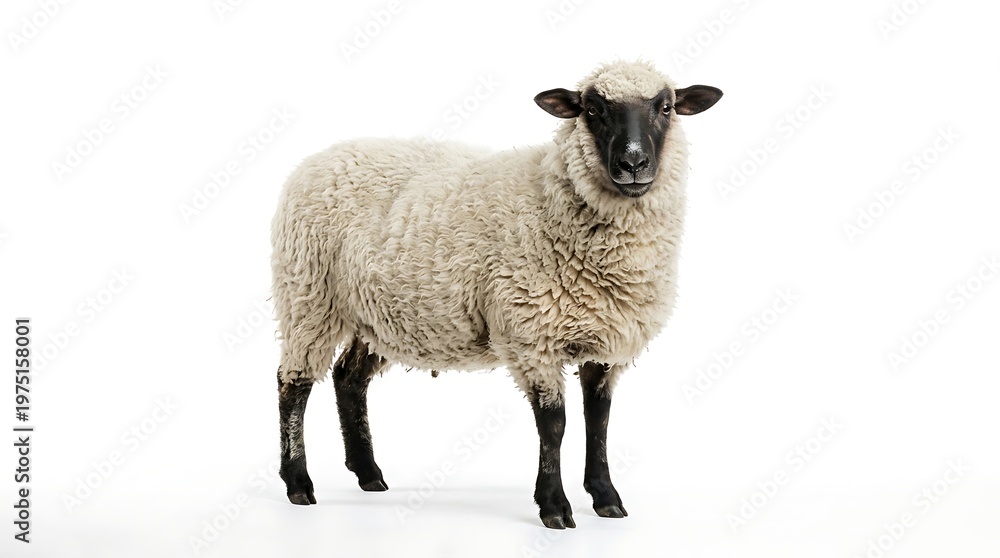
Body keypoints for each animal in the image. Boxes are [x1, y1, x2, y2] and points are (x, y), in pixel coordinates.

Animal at [272, 60, 722, 529]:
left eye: (666, 107)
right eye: (593, 109)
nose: (633, 162)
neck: (550, 201)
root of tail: (320, 158)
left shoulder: (605, 339)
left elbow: (598, 419)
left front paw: (604, 495)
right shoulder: (532, 335)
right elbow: (555, 424)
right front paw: (554, 506)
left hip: (376, 313)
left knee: (348, 378)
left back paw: (368, 473)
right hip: (308, 296)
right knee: (293, 384)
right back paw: (298, 483)